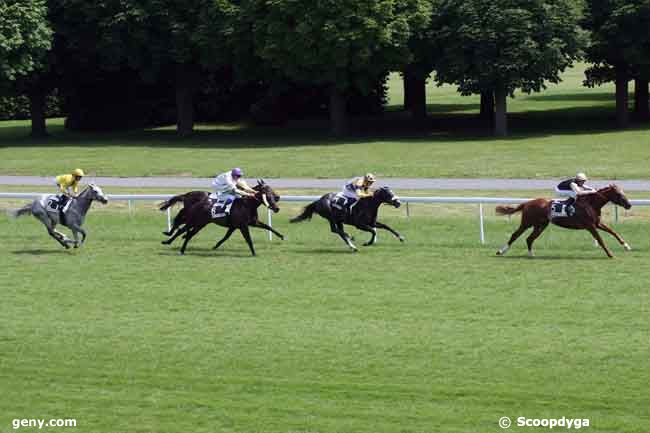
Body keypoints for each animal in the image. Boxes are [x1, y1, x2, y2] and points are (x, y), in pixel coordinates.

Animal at [494, 185, 632, 258]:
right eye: (619, 194)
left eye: (623, 192)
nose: (629, 205)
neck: (591, 204)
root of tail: (527, 203)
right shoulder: (590, 226)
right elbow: (600, 239)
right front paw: (610, 254)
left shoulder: (597, 224)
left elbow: (613, 232)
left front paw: (626, 246)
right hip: (527, 223)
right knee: (515, 235)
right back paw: (501, 251)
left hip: (541, 225)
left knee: (530, 238)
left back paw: (531, 254)